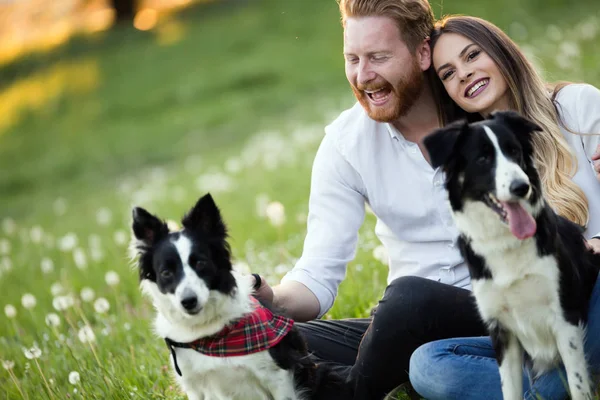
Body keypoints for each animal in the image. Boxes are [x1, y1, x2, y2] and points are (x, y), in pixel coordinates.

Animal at [131, 193, 346, 396]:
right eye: (166, 273)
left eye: (200, 263)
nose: (188, 301)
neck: (208, 334)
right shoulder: (195, 386)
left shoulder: (278, 375)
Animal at [422, 110, 600, 400]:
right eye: (483, 158)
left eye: (514, 151)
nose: (521, 187)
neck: (506, 242)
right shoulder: (501, 330)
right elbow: (510, 390)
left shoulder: (566, 318)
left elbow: (577, 385)